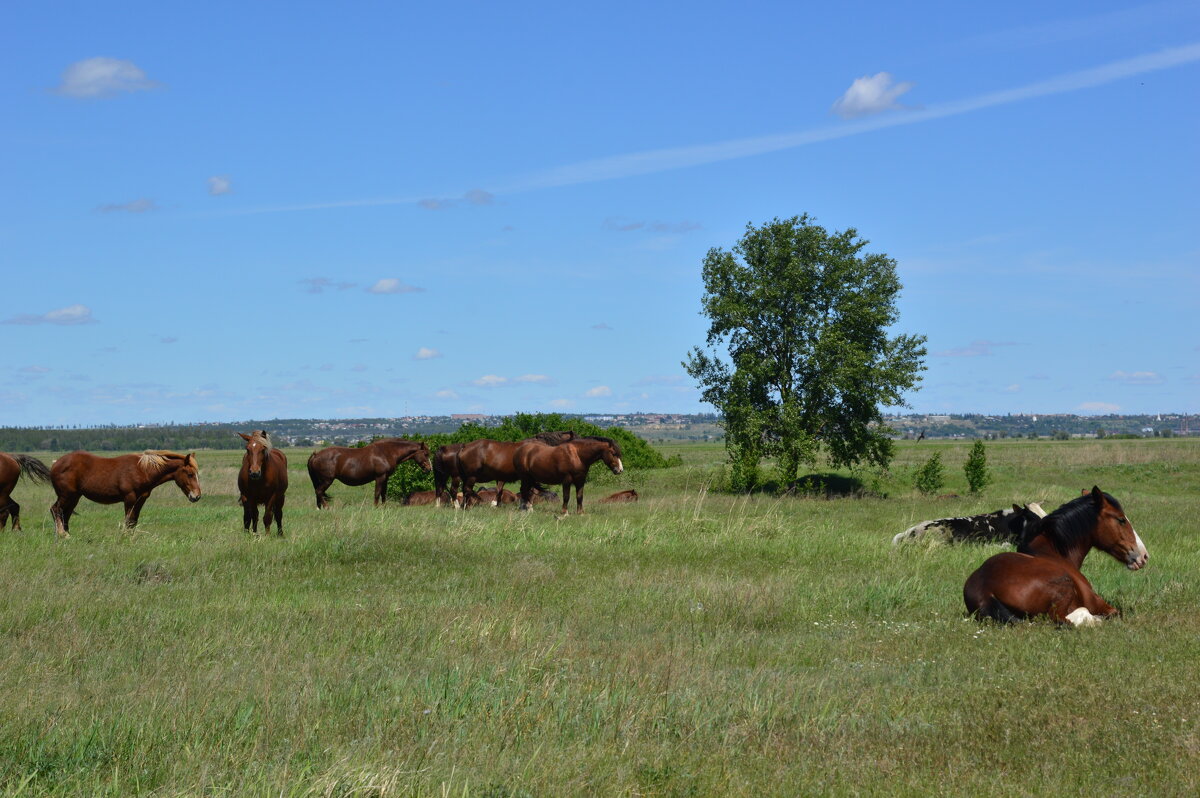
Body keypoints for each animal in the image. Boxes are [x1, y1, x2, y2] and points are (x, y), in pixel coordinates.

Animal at [48, 448, 199, 535]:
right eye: (190, 474)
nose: (197, 496)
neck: (142, 470)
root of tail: (55, 464)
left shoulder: (141, 500)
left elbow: (133, 521)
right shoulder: (129, 498)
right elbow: (128, 520)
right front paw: (125, 537)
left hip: (74, 497)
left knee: (65, 514)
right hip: (66, 496)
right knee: (55, 509)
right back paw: (63, 535)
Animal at [304, 436, 432, 504]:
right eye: (426, 454)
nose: (429, 469)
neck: (386, 452)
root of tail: (315, 455)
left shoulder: (385, 478)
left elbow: (383, 494)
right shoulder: (380, 477)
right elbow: (377, 493)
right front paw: (376, 508)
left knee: (318, 494)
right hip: (327, 480)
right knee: (319, 492)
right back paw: (327, 507)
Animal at [960, 484, 1147, 628]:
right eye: (1121, 519)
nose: (1143, 556)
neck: (1053, 552)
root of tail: (986, 592)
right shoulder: (1099, 604)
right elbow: (1114, 612)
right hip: (1064, 584)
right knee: (1061, 620)